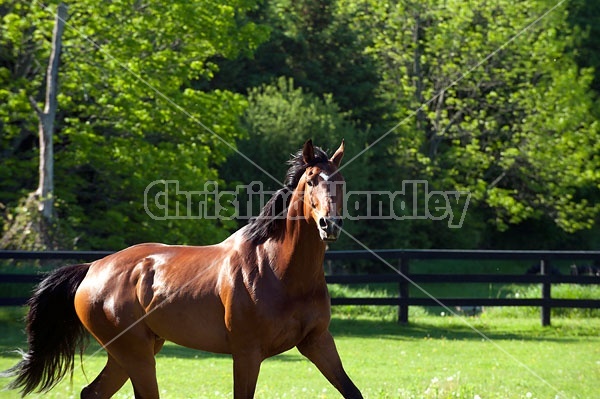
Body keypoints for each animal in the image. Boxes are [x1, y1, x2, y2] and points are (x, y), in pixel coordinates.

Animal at [1, 141, 360, 399]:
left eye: (342, 182)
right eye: (311, 180)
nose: (330, 225)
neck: (279, 269)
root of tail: (92, 268)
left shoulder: (317, 342)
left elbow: (352, 391)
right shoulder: (247, 353)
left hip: (129, 353)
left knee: (92, 393)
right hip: (136, 354)